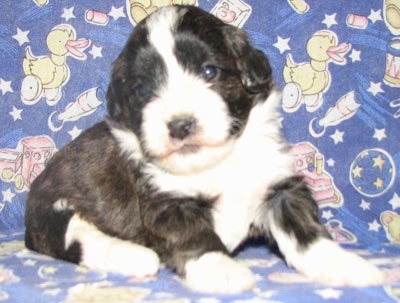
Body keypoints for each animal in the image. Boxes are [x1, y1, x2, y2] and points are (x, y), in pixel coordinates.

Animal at [24, 4, 382, 294]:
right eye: (142, 90)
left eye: (209, 71)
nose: (180, 125)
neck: (218, 162)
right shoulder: (167, 203)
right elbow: (193, 235)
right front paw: (221, 270)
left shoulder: (279, 187)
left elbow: (307, 232)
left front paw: (344, 265)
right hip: (54, 212)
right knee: (78, 237)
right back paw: (135, 256)